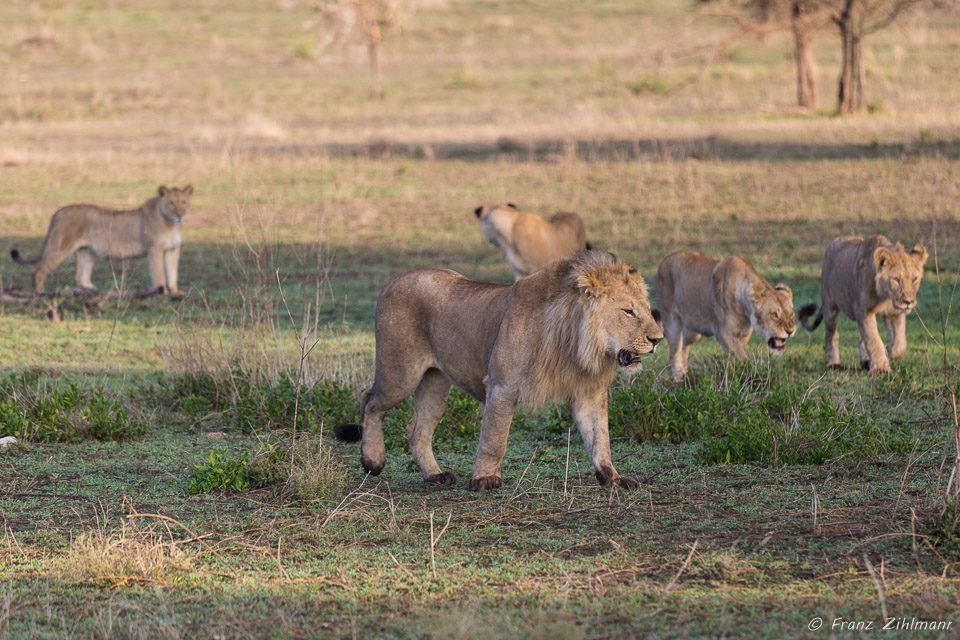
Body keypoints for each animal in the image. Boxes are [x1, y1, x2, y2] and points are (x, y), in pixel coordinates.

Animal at [11, 185, 194, 296]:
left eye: (184, 202)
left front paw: (176, 292)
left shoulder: (172, 250)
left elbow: (173, 272)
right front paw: (163, 293)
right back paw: (40, 294)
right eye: (171, 203)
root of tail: (59, 211)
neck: (171, 225)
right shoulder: (154, 249)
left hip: (86, 251)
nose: (180, 214)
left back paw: (95, 292)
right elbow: (159, 273)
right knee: (38, 270)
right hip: (60, 246)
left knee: (82, 279)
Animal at [336, 250, 660, 490]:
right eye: (628, 311)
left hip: (435, 383)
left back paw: (434, 476)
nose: (658, 339)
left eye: (648, 310)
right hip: (401, 373)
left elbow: (600, 437)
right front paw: (485, 479)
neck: (576, 343)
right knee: (370, 402)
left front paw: (612, 477)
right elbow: (495, 437)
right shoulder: (502, 386)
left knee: (417, 432)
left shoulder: (588, 392)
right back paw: (373, 462)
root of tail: (395, 279)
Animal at [652, 249, 796, 380]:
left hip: (694, 330)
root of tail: (665, 259)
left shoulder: (744, 334)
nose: (790, 331)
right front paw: (751, 378)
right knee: (674, 352)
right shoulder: (724, 332)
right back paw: (678, 379)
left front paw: (731, 375)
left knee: (684, 345)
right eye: (775, 314)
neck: (745, 309)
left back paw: (685, 373)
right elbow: (742, 358)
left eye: (792, 315)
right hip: (672, 322)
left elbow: (733, 358)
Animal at [800, 235, 928, 376]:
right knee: (831, 334)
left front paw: (887, 352)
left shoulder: (893, 313)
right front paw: (880, 369)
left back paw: (866, 361)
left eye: (914, 280)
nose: (908, 302)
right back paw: (834, 363)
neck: (884, 296)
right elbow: (873, 340)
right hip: (829, 305)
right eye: (896, 279)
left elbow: (900, 344)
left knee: (862, 338)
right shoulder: (863, 310)